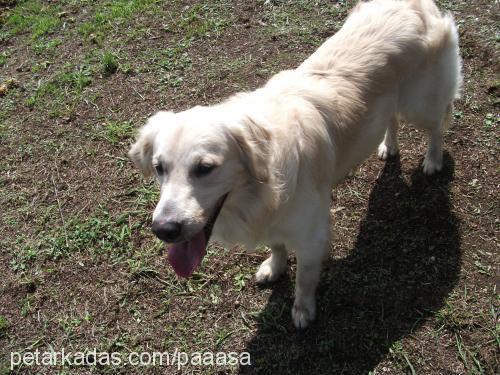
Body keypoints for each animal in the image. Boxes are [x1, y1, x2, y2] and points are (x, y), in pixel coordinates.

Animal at [128, 0, 460, 328]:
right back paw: (389, 146)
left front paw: (302, 310)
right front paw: (274, 267)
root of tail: (416, 5)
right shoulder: (274, 221)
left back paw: (432, 160)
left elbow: (304, 279)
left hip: (421, 105)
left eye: (205, 168)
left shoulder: (311, 235)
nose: (164, 229)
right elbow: (276, 246)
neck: (263, 193)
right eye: (159, 168)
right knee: (392, 118)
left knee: (438, 125)